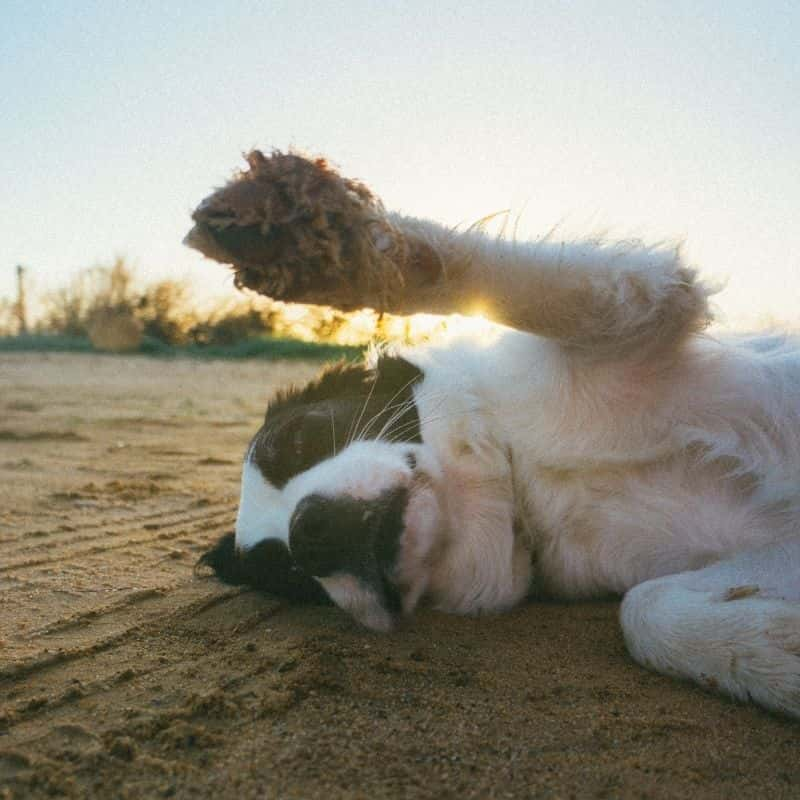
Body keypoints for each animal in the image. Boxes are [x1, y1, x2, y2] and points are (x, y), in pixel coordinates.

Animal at [188, 152, 800, 720]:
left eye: (300, 438)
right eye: (288, 573)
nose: (309, 531)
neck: (519, 472)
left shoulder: (636, 312)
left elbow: (477, 275)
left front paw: (321, 241)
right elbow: (642, 607)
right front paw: (772, 654)